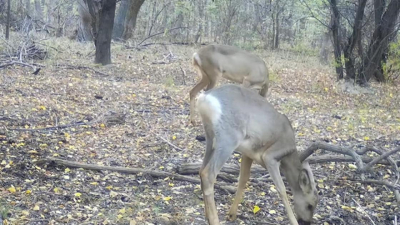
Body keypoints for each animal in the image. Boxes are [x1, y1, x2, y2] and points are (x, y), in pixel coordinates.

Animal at [196, 84, 318, 225]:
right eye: (310, 205)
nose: (306, 222)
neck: (288, 154)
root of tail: (204, 98)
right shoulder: (270, 156)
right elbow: (282, 189)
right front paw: (294, 221)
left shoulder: (248, 153)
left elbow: (243, 179)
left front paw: (232, 214)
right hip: (229, 138)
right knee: (208, 174)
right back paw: (214, 220)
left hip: (211, 137)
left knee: (201, 170)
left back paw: (207, 215)